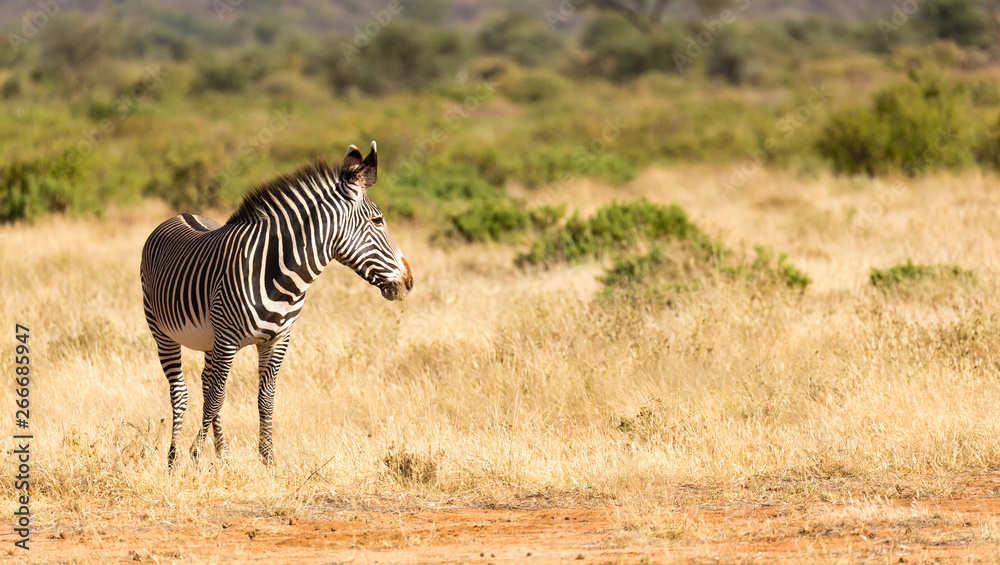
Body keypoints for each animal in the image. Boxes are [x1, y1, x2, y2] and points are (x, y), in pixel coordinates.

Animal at [140, 142, 412, 467]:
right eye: (378, 221)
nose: (409, 281)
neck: (279, 272)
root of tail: (181, 214)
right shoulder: (228, 338)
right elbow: (218, 396)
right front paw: (195, 454)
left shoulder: (279, 338)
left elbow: (265, 398)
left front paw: (268, 459)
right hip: (162, 330)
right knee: (181, 390)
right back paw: (173, 458)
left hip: (209, 339)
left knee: (206, 382)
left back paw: (222, 452)